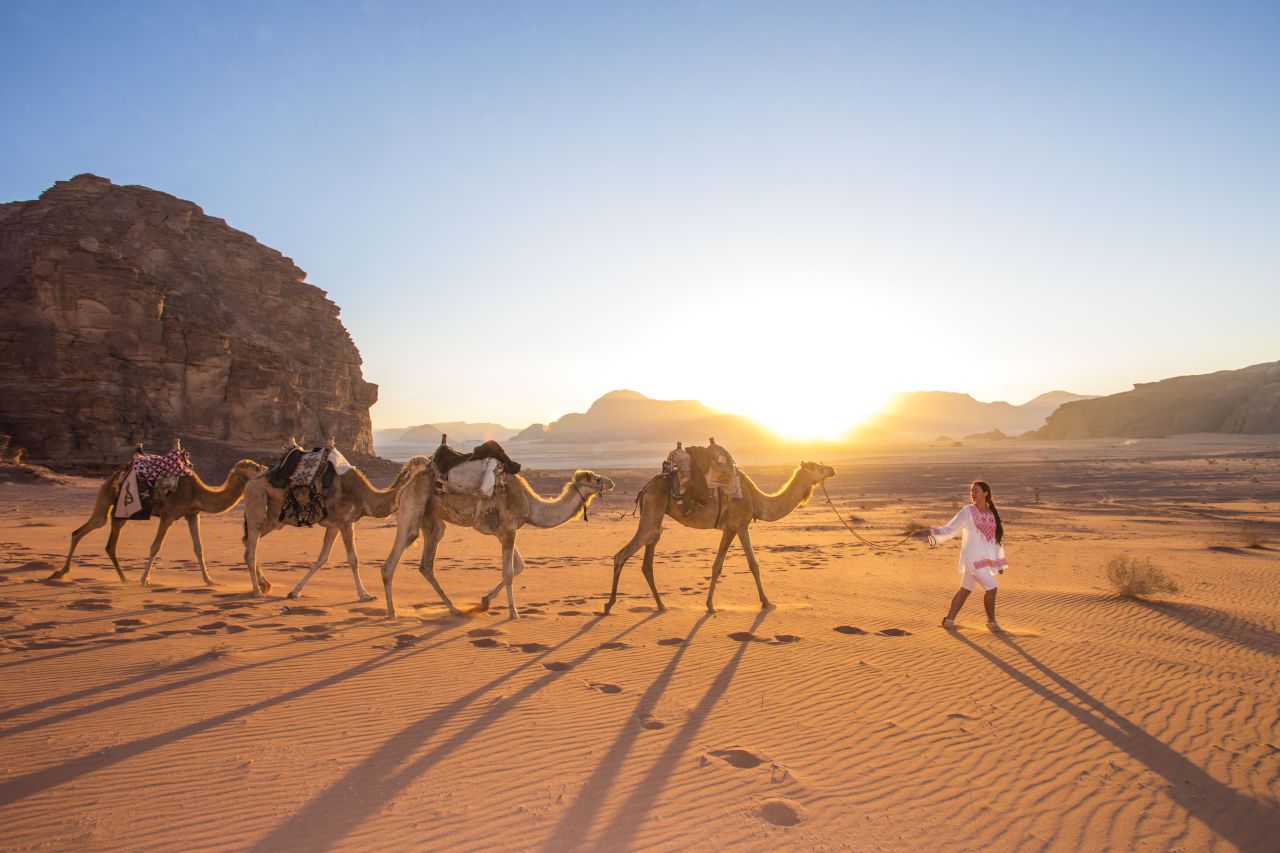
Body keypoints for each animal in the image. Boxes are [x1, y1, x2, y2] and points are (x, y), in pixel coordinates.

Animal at [49, 450, 267, 584]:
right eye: (254, 467)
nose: (266, 469)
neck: (197, 493)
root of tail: (114, 475)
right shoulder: (168, 515)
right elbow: (155, 547)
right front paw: (144, 580)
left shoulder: (192, 514)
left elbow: (199, 548)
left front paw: (210, 581)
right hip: (106, 501)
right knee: (84, 530)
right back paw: (61, 572)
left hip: (120, 514)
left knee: (107, 543)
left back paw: (122, 578)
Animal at [235, 450, 424, 596]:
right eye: (428, 463)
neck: (366, 497)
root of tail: (251, 481)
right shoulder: (345, 521)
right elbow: (353, 559)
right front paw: (364, 594)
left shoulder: (335, 525)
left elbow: (322, 558)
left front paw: (294, 592)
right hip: (256, 497)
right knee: (251, 546)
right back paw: (257, 592)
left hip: (275, 517)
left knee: (248, 540)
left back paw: (264, 585)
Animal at [378, 466, 614, 617]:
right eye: (595, 478)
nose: (611, 482)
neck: (531, 506)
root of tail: (409, 479)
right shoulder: (509, 529)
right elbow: (509, 572)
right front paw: (514, 612)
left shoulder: (504, 532)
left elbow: (520, 566)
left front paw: (485, 600)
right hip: (412, 508)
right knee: (393, 559)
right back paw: (392, 613)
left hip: (432, 521)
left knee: (426, 564)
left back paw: (454, 609)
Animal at [604, 458, 834, 612]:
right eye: (816, 466)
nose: (832, 469)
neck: (756, 499)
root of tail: (645, 489)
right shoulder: (732, 526)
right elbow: (718, 566)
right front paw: (710, 605)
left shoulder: (742, 526)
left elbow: (754, 564)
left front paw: (766, 602)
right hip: (653, 510)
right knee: (622, 554)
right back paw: (609, 604)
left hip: (656, 518)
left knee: (648, 559)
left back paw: (661, 605)